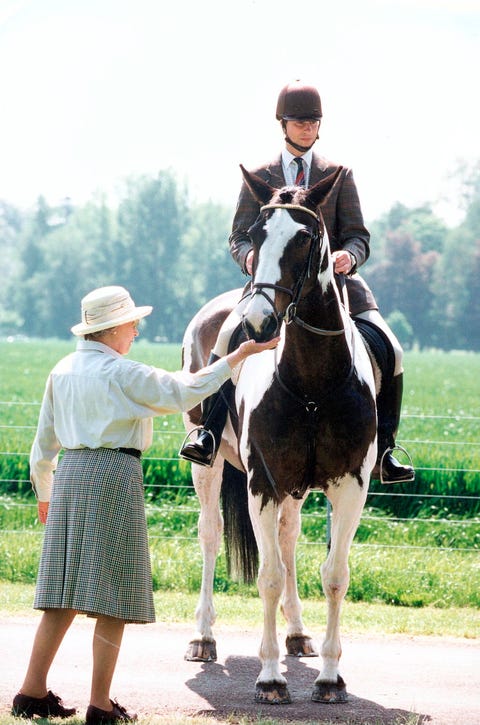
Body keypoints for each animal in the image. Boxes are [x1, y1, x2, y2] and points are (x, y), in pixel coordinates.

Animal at [182, 165, 376, 700]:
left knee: (288, 542)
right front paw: (269, 678)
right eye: (254, 235)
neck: (311, 380)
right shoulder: (263, 483)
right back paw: (203, 637)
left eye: (306, 237)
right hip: (208, 467)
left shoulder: (350, 486)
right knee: (211, 534)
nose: (257, 322)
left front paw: (330, 677)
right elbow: (267, 576)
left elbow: (334, 575)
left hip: (295, 489)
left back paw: (297, 633)